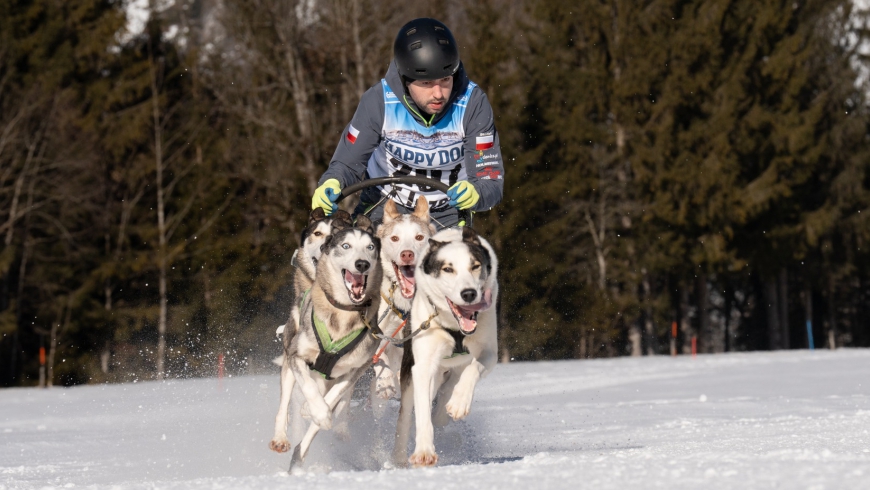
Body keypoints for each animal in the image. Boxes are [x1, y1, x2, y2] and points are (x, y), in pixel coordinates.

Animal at [270, 214, 384, 468]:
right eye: (346, 246)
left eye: (370, 247)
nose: (362, 264)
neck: (343, 314)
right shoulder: (298, 357)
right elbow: (309, 390)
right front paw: (317, 412)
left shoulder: (353, 371)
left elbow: (333, 399)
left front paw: (322, 414)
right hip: (289, 362)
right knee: (284, 403)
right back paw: (281, 437)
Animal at [394, 227, 498, 468]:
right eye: (448, 269)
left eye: (475, 265)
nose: (469, 293)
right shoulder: (422, 366)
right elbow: (422, 413)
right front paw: (424, 451)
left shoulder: (489, 352)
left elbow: (473, 369)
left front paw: (458, 403)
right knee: (406, 416)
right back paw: (399, 458)